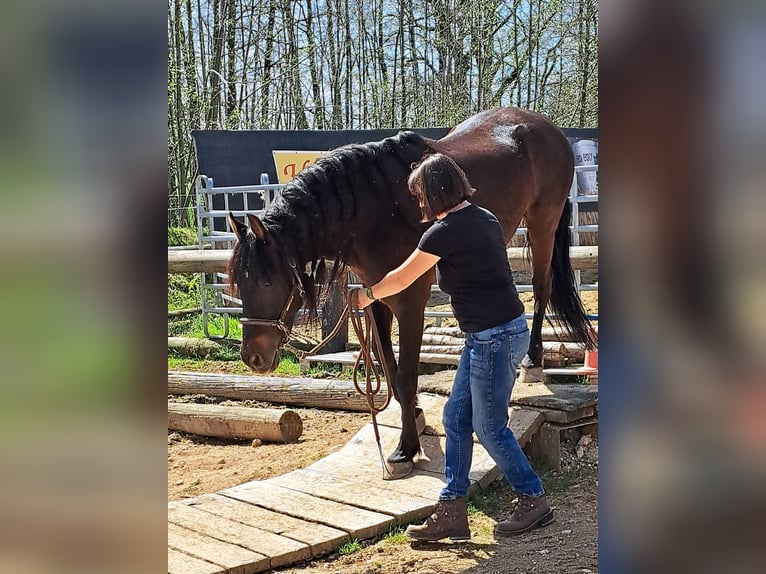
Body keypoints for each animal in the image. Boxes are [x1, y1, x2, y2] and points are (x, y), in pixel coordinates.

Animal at [226, 107, 596, 476]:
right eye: (239, 283)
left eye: (267, 282)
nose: (252, 357)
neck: (368, 210)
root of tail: (545, 127)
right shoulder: (375, 299)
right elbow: (389, 369)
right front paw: (415, 416)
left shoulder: (410, 302)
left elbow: (405, 376)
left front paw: (406, 449)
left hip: (543, 222)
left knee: (541, 286)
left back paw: (533, 360)